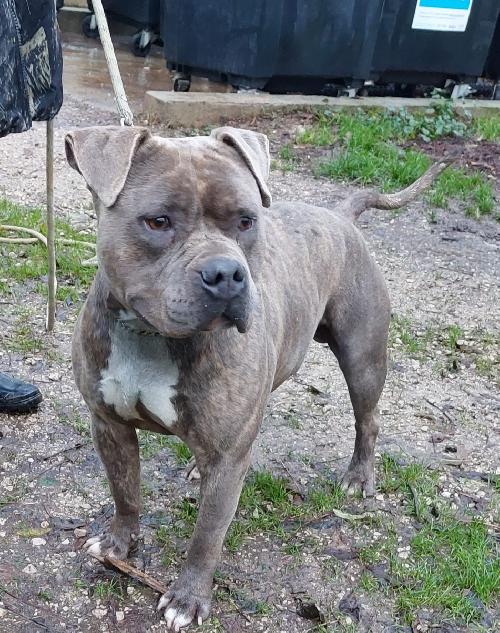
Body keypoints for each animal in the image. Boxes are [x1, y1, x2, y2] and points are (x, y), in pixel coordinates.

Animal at [65, 125, 449, 630]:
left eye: (246, 221)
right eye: (158, 221)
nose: (226, 273)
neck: (152, 336)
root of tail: (339, 214)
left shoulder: (227, 460)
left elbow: (207, 535)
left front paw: (187, 598)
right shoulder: (109, 426)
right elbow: (125, 491)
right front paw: (117, 544)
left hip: (363, 359)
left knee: (368, 418)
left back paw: (358, 476)